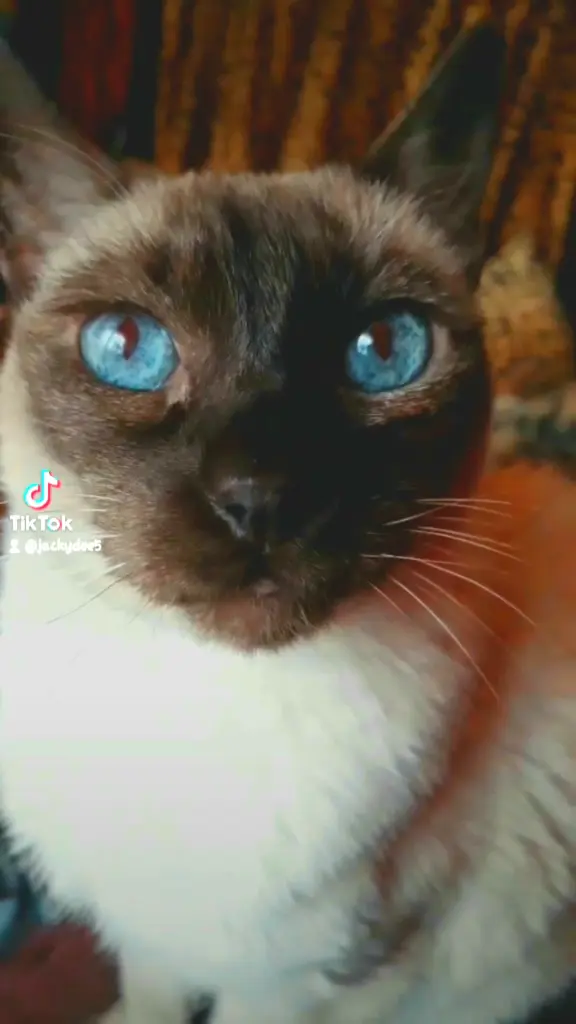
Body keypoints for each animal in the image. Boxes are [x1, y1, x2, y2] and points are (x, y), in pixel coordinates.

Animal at [0, 22, 574, 1024]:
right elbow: (147, 1002)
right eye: (128, 348)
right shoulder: (152, 937)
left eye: (384, 351)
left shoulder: (312, 979)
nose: (261, 491)